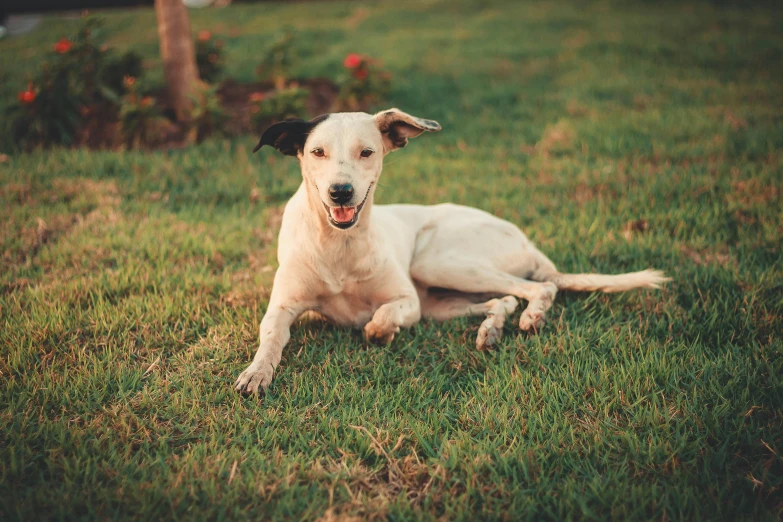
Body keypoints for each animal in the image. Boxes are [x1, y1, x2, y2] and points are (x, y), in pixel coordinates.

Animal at [233, 109, 668, 394]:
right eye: (317, 152)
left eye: (367, 152)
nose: (341, 192)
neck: (340, 244)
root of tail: (528, 242)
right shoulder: (283, 307)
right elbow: (271, 337)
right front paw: (256, 372)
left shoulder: (408, 302)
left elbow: (381, 316)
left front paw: (378, 331)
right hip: (440, 300)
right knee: (504, 299)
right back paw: (492, 330)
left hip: (438, 264)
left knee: (540, 288)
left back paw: (532, 317)